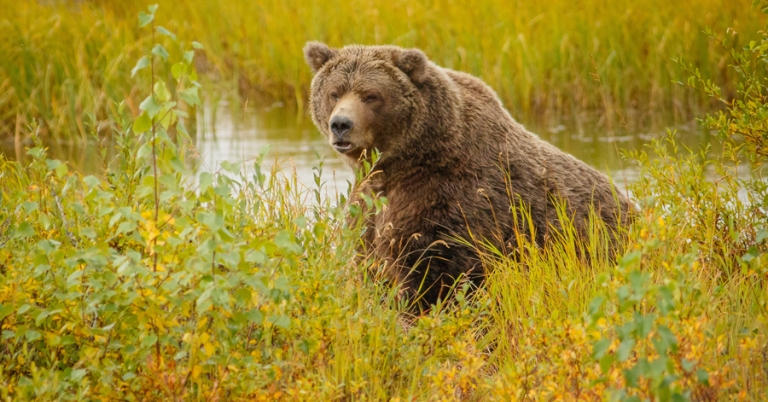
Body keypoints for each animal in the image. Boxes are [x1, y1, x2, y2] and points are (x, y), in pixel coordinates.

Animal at [303, 42, 634, 309]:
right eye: (334, 92)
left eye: (371, 95)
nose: (341, 125)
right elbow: (368, 259)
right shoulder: (369, 205)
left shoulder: (452, 201)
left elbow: (437, 272)